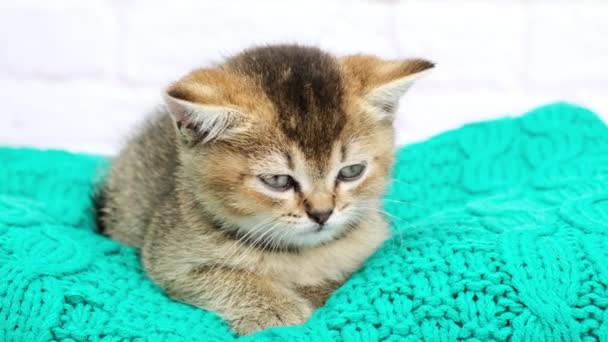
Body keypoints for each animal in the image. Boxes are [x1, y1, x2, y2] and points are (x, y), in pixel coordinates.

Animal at [96, 44, 432, 336]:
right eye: (279, 181)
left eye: (351, 172)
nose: (322, 213)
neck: (297, 253)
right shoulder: (168, 257)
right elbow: (221, 276)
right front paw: (277, 308)